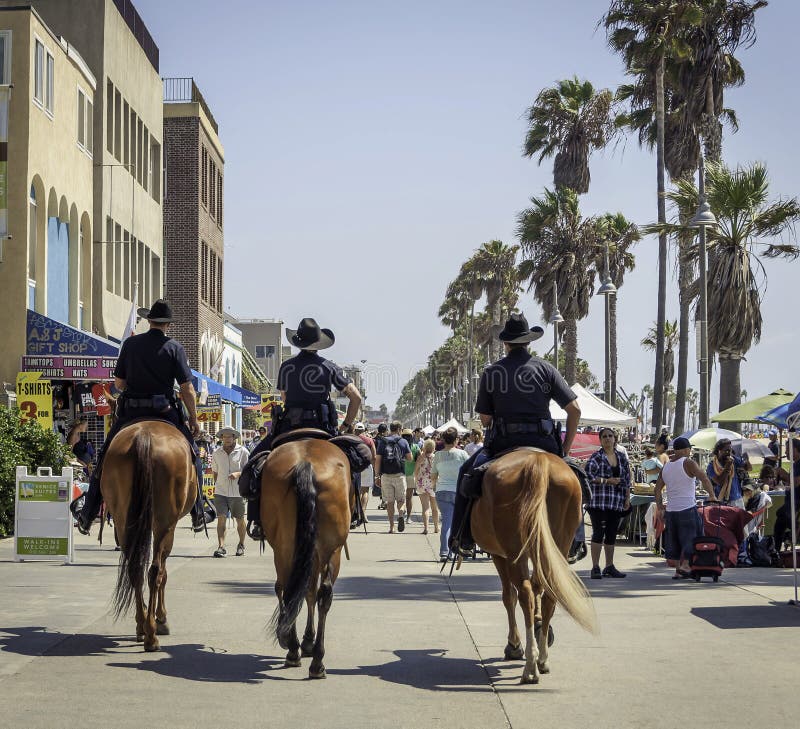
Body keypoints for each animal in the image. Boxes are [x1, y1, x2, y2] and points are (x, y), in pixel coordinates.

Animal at [102, 418, 198, 652]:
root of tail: (143, 437)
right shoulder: (168, 528)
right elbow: (163, 572)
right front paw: (161, 617)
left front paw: (146, 619)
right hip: (164, 522)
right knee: (155, 571)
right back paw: (152, 635)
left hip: (123, 520)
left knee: (135, 569)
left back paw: (141, 625)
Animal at [260, 432, 352, 676]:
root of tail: (305, 464)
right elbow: (310, 591)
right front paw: (308, 641)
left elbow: (303, 590)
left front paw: (301, 641)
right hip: (331, 549)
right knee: (323, 594)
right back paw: (316, 661)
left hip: (285, 547)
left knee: (287, 587)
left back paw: (293, 648)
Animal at [472, 450, 596, 684]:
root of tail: (538, 461)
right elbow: (539, 587)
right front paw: (540, 628)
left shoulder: (499, 555)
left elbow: (509, 596)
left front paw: (514, 644)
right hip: (558, 546)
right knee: (549, 595)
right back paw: (542, 659)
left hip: (514, 552)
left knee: (524, 593)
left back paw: (530, 665)